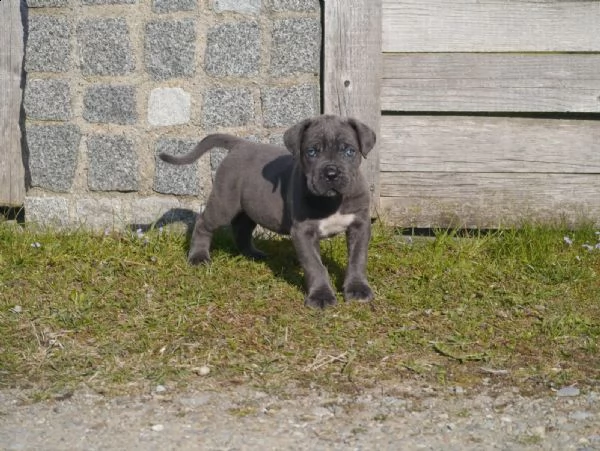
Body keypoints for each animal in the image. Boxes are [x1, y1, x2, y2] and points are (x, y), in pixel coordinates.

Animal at [159, 115, 376, 308]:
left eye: (349, 151)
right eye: (312, 152)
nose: (331, 173)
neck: (333, 201)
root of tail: (240, 144)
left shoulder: (360, 225)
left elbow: (357, 259)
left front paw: (357, 289)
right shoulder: (303, 231)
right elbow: (315, 265)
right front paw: (320, 296)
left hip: (251, 206)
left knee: (241, 228)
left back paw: (252, 254)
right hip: (224, 202)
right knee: (204, 223)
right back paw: (198, 257)